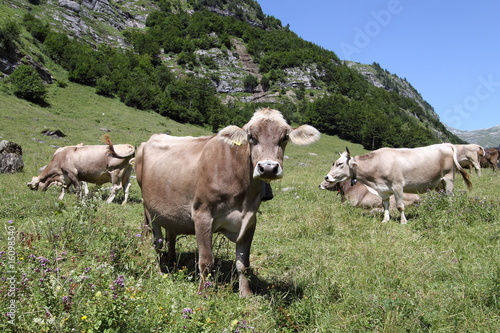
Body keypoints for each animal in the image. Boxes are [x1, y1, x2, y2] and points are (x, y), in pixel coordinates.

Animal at [135, 107, 318, 296]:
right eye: (251, 136)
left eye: (284, 137)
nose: (268, 168)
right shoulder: (202, 214)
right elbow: (206, 260)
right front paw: (203, 292)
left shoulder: (250, 220)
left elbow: (243, 263)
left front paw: (246, 293)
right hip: (149, 208)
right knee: (156, 241)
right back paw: (158, 271)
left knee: (170, 235)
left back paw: (171, 263)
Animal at [324, 143, 472, 223]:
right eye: (333, 163)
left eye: (340, 164)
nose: (326, 177)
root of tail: (446, 144)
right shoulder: (383, 190)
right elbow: (386, 205)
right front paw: (385, 220)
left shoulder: (398, 186)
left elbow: (400, 206)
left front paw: (403, 221)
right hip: (439, 184)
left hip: (448, 180)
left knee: (450, 197)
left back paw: (448, 211)